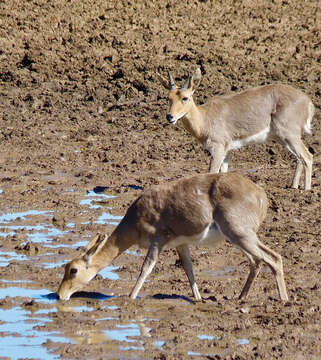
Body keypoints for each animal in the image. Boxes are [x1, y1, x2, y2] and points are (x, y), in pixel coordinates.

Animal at [57, 173, 288, 302]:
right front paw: (198, 298)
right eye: (65, 267)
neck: (135, 217)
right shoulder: (181, 244)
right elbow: (188, 269)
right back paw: (240, 298)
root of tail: (261, 196)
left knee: (273, 258)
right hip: (238, 237)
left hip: (240, 234)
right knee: (258, 261)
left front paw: (130, 297)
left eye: (73, 270)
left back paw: (283, 300)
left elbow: (146, 268)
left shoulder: (158, 240)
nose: (60, 295)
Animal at [162, 68, 312, 190]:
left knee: (308, 156)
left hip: (289, 135)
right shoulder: (227, 150)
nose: (170, 117)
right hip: (284, 138)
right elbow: (223, 174)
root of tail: (308, 101)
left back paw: (306, 190)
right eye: (169, 97)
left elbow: (211, 172)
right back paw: (294, 187)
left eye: (185, 98)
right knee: (300, 158)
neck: (205, 119)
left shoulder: (218, 148)